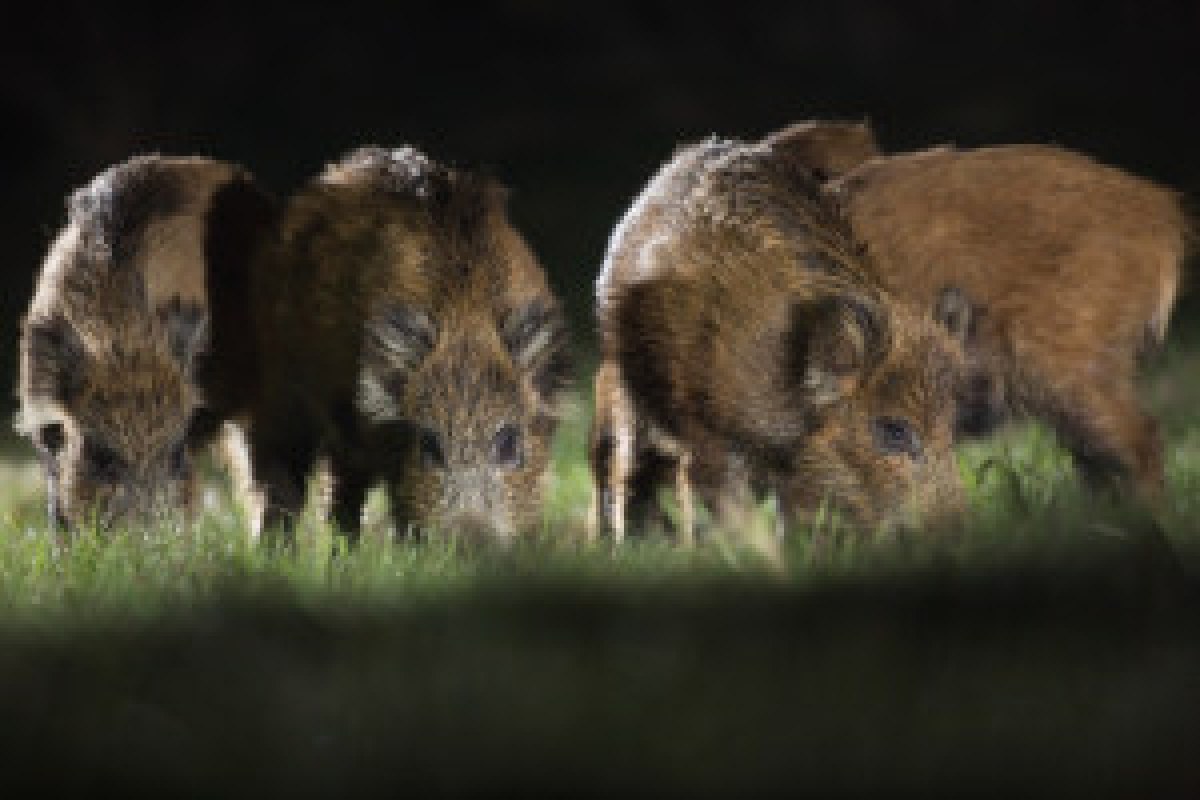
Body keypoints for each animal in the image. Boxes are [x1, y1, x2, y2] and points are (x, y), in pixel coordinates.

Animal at [248, 146, 571, 544]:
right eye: (429, 444)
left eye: (508, 441)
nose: (470, 539)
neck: (465, 322)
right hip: (279, 387)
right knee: (284, 471)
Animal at [590, 135, 971, 544]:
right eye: (893, 430)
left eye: (951, 428)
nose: (959, 532)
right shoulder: (708, 432)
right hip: (625, 385)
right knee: (625, 469)